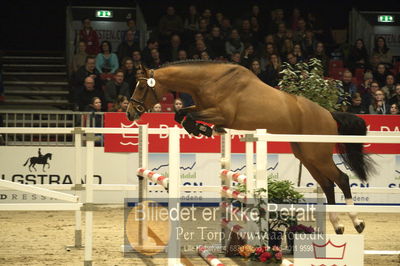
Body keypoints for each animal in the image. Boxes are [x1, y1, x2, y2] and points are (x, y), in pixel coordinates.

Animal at [127, 59, 376, 233]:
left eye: (141, 87)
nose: (130, 113)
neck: (209, 80)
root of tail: (328, 113)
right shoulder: (203, 107)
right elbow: (181, 114)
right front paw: (202, 129)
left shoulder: (221, 113)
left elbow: (184, 115)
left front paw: (203, 129)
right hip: (306, 155)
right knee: (327, 184)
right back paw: (338, 225)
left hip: (318, 154)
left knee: (341, 178)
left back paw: (357, 222)